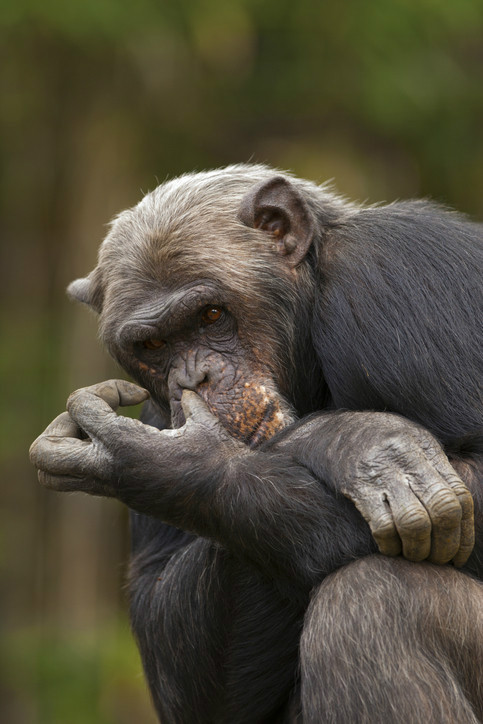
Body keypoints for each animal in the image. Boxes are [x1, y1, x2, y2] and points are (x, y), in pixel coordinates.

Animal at [31, 165, 483, 724]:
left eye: (210, 314)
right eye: (153, 345)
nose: (194, 378)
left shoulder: (396, 272)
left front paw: (172, 462)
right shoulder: (157, 407)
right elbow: (173, 652)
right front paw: (353, 442)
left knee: (374, 600)